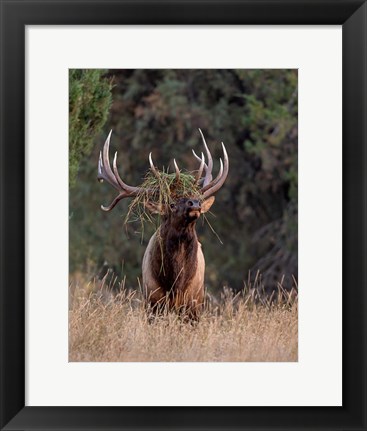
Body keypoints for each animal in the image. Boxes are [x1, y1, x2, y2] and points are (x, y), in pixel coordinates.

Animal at [98, 130, 230, 318]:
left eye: (195, 197)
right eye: (172, 204)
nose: (195, 203)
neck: (175, 284)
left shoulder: (193, 304)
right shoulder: (153, 301)